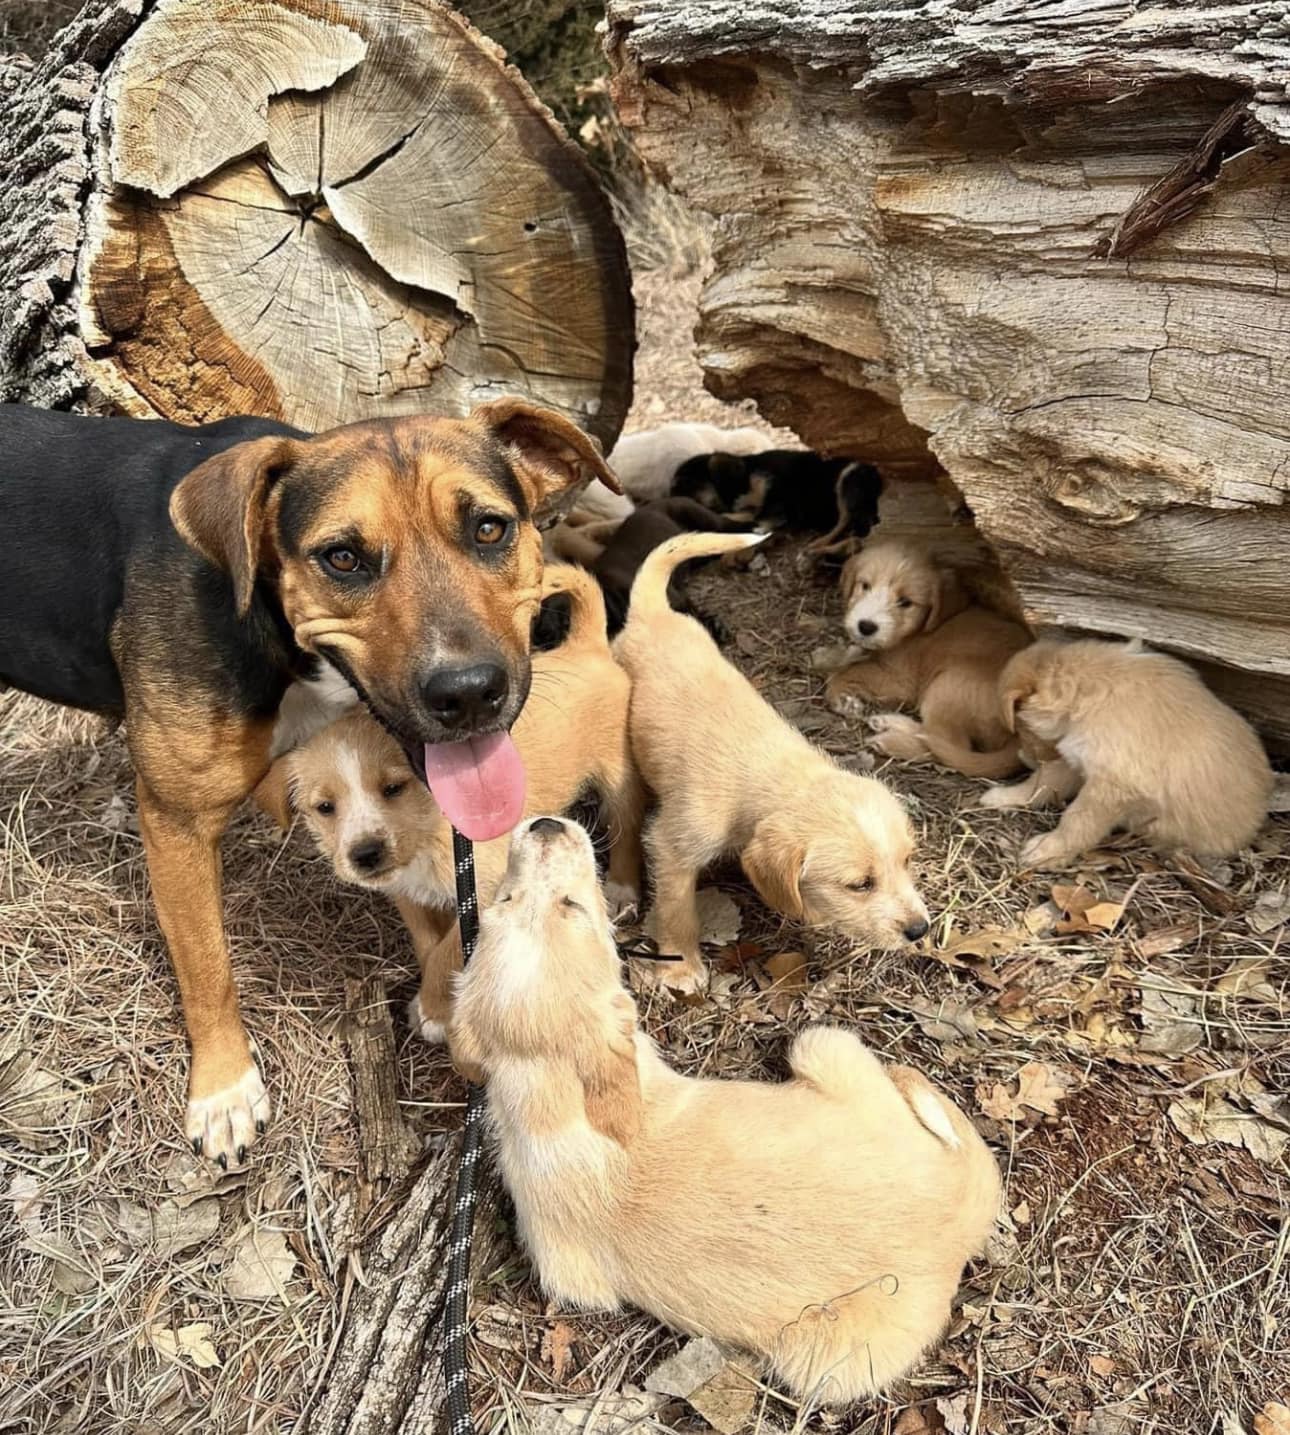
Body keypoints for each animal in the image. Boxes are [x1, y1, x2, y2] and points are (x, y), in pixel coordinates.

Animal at [286, 562, 639, 1044]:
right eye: (325, 807)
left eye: (393, 788)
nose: (365, 854)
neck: (435, 830)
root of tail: (586, 645)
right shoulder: (406, 893)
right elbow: (429, 944)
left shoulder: (487, 891)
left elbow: (450, 950)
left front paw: (435, 1010)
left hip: (618, 778)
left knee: (627, 821)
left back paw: (621, 885)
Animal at [447, 815, 1004, 1406]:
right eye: (572, 904)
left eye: (502, 902)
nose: (545, 822)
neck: (547, 1096)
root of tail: (959, 1209)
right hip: (822, 1044)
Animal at [614, 533, 929, 993]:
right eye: (860, 884)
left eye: (906, 861)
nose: (920, 929)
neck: (774, 771)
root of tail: (654, 612)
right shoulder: (672, 846)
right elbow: (677, 910)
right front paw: (682, 969)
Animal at [820, 539, 1033, 786]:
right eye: (865, 586)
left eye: (906, 602)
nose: (866, 626)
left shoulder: (899, 679)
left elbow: (847, 672)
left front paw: (843, 698)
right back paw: (889, 721)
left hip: (945, 688)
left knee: (947, 745)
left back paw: (891, 741)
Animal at [981, 637, 1274, 860]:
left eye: (1019, 730)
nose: (1024, 756)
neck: (1089, 688)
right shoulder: (1076, 759)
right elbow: (1042, 783)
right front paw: (1005, 796)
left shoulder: (1113, 784)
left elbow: (1077, 819)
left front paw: (1049, 850)